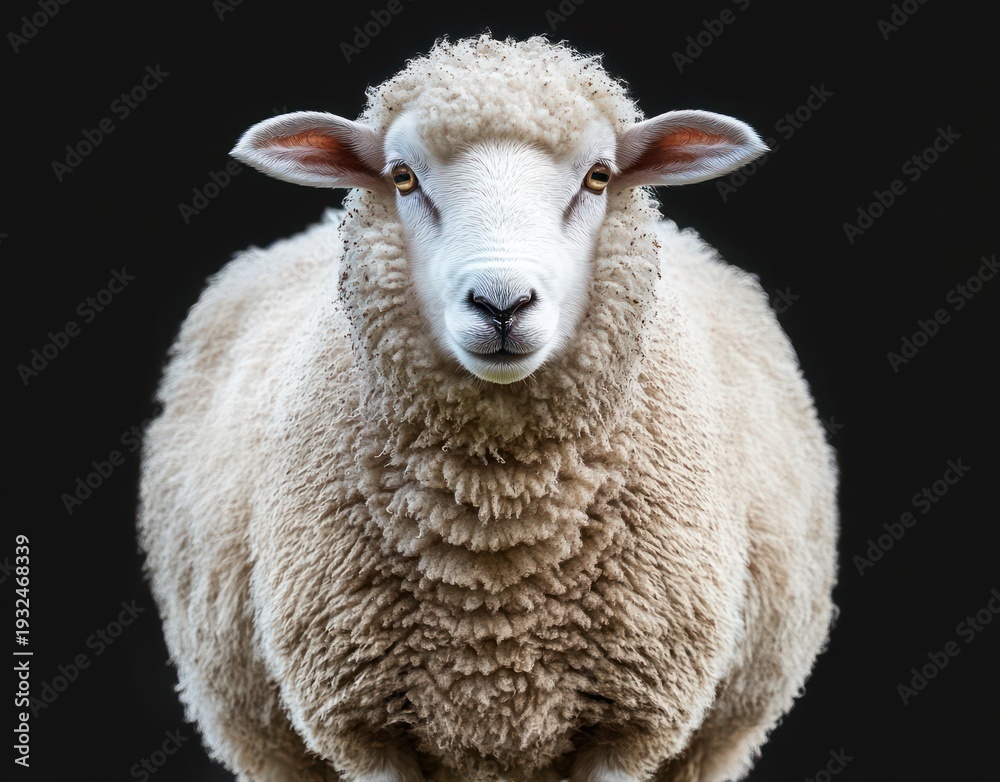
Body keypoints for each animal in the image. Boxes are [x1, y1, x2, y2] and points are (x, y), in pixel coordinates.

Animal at [138, 34, 838, 782]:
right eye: (402, 177)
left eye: (599, 177)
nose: (502, 303)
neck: (496, 516)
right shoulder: (363, 724)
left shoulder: (629, 723)